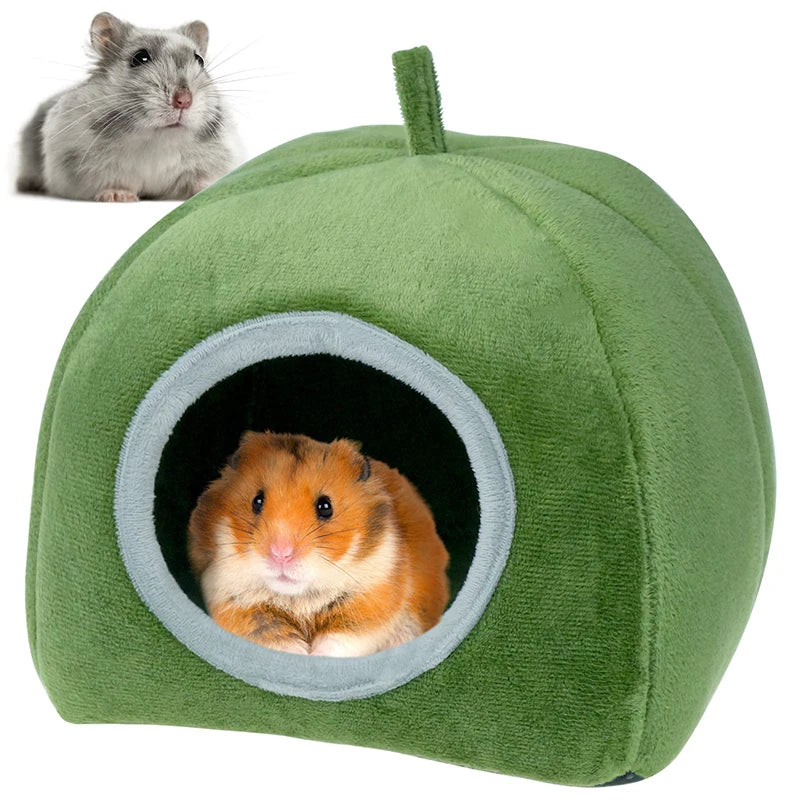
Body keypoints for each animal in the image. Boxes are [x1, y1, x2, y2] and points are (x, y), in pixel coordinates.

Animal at [17, 12, 241, 201]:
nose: (184, 100)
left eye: (199, 60)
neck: (158, 140)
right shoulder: (85, 165)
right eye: (139, 58)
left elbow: (198, 180)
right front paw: (118, 196)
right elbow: (113, 182)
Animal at [188, 432, 450, 657]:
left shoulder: (369, 602)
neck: (299, 598)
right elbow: (277, 641)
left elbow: (338, 641)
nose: (281, 554)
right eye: (257, 501)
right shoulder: (237, 604)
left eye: (325, 506)